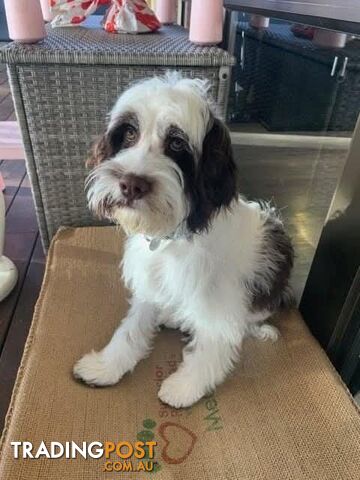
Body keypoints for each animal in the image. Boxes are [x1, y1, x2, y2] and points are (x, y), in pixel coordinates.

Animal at [74, 72, 294, 408]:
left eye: (176, 143)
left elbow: (211, 345)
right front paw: (106, 366)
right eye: (129, 133)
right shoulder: (149, 282)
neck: (170, 239)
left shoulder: (219, 300)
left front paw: (186, 386)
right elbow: (131, 328)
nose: (131, 184)